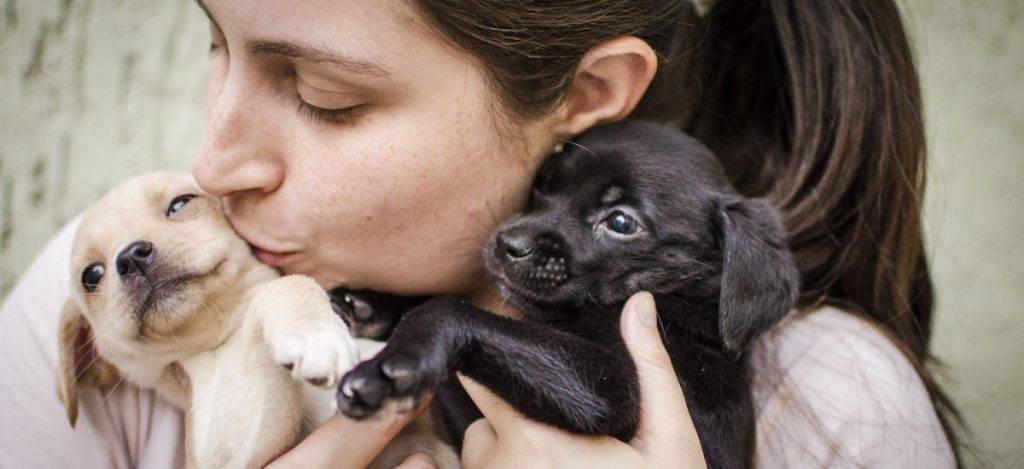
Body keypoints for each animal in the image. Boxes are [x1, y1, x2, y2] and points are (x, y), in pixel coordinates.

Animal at [56, 172, 456, 469]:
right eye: (91, 276)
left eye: (180, 203)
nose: (131, 256)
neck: (224, 337)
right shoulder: (232, 453)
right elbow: (280, 286)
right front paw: (318, 335)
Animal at [335, 120, 798, 469]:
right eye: (542, 184)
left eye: (621, 222)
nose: (508, 244)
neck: (675, 312)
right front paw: (369, 304)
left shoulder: (613, 388)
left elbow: (451, 308)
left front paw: (398, 360)